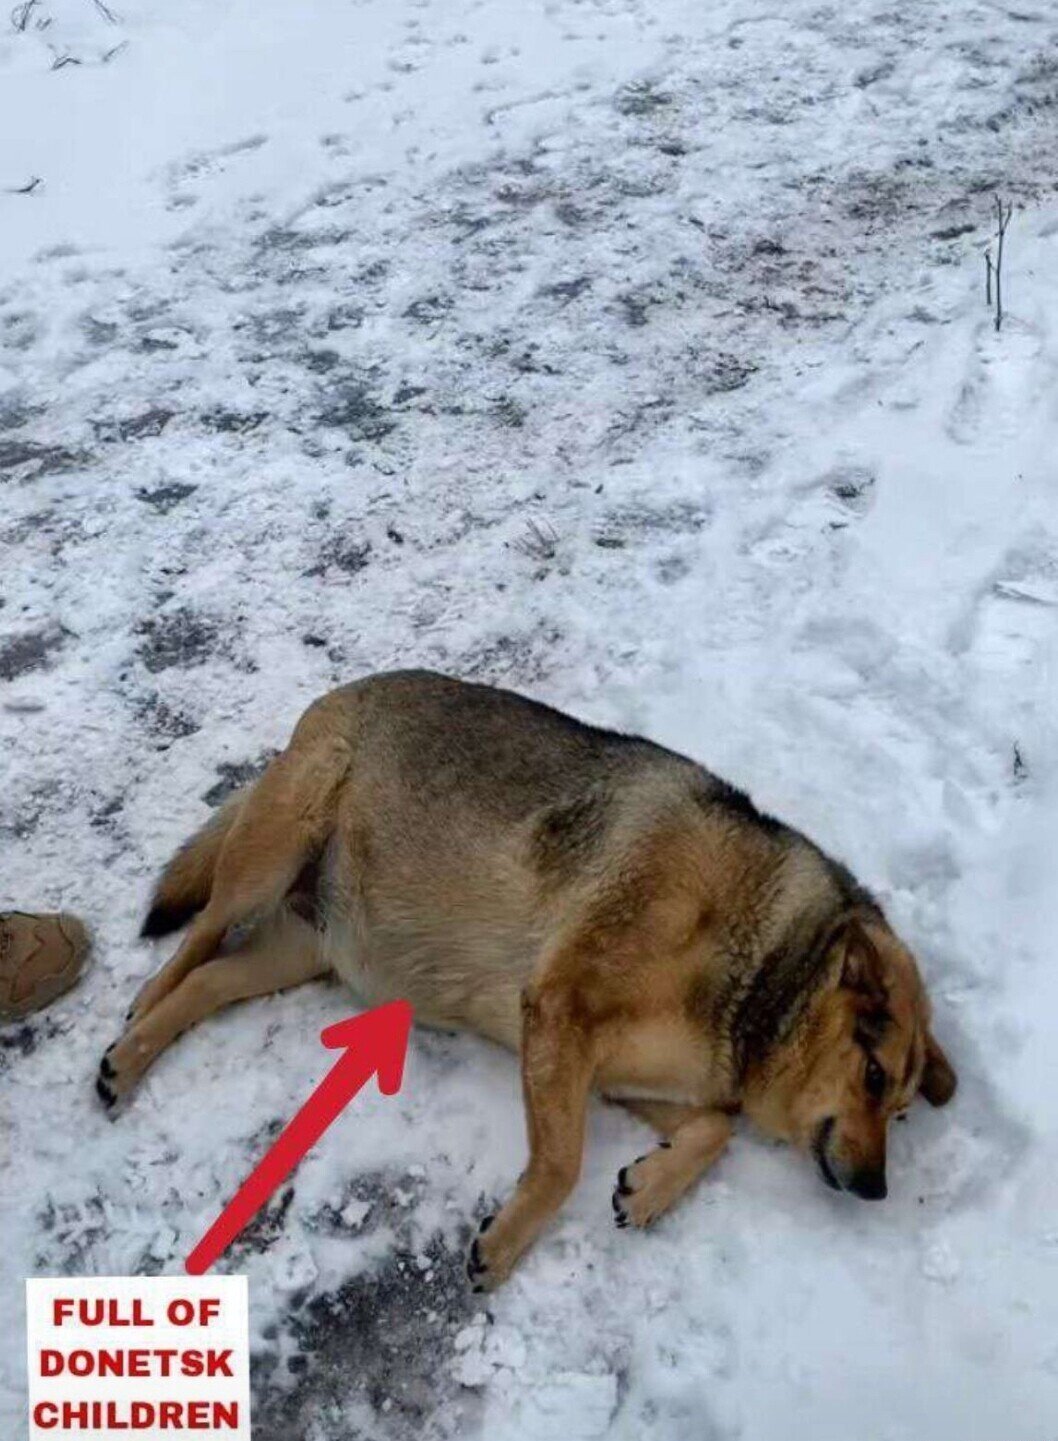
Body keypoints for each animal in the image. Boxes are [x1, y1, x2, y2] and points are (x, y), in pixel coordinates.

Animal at [99, 670, 956, 1289]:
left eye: (903, 1111)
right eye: (873, 1076)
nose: (878, 1190)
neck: (761, 973)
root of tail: (342, 691)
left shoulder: (616, 1073)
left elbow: (712, 1128)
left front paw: (649, 1187)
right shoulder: (558, 1012)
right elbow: (563, 1163)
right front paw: (508, 1240)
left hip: (306, 947)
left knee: (211, 982)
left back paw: (134, 1055)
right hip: (271, 851)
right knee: (197, 936)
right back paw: (134, 1017)